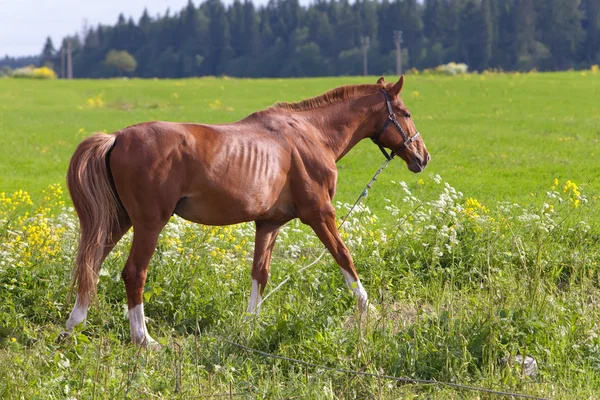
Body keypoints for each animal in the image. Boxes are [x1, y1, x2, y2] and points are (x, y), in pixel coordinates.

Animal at [63, 75, 428, 346]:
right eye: (407, 113)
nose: (422, 157)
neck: (311, 134)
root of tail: (117, 137)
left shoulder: (268, 223)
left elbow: (259, 273)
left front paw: (250, 324)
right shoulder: (320, 214)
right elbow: (344, 257)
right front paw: (367, 308)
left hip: (120, 221)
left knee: (92, 264)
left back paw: (74, 325)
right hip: (149, 224)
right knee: (133, 273)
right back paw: (143, 338)